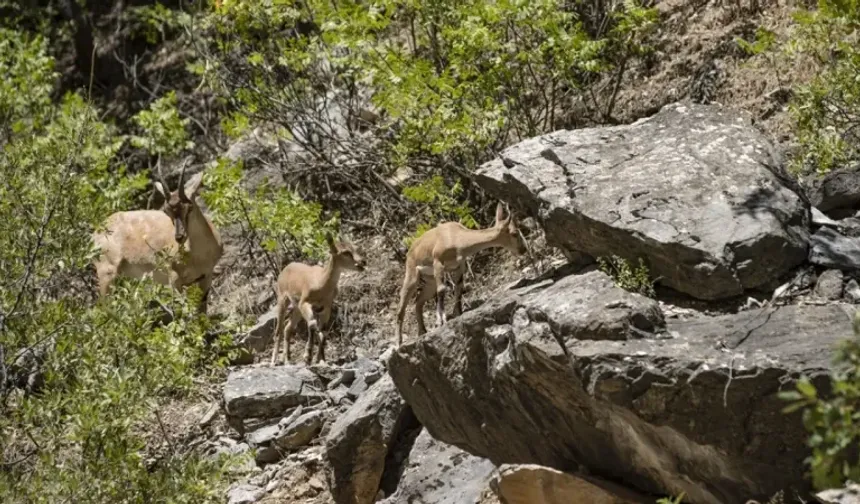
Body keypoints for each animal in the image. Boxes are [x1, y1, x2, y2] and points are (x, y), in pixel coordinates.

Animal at [92, 159, 223, 314]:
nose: (179, 237)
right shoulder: (174, 279)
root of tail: (98, 230)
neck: (197, 255)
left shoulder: (205, 277)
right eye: (166, 211)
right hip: (107, 273)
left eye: (189, 207)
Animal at [268, 234, 362, 364]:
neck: (322, 283)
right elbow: (313, 324)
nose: (362, 262)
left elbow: (323, 332)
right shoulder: (305, 302)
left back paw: (287, 359)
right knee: (279, 330)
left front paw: (320, 359)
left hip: (297, 308)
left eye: (356, 248)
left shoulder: (325, 307)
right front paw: (308, 356)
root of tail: (284, 270)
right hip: (283, 299)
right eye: (345, 252)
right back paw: (274, 361)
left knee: (288, 328)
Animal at [394, 203, 528, 344]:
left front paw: (457, 313)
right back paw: (398, 342)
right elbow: (442, 289)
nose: (524, 249)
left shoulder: (459, 265)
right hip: (412, 275)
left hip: (429, 281)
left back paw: (422, 331)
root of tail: (409, 252)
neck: (457, 238)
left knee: (418, 302)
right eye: (514, 233)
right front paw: (440, 321)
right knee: (401, 307)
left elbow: (458, 287)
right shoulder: (438, 262)